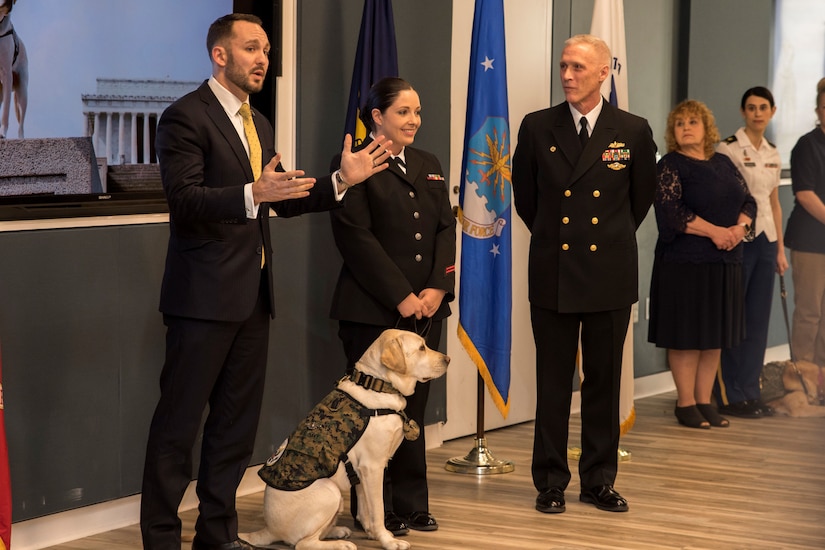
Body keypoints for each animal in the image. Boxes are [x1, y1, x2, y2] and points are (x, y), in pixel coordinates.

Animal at [241, 330, 448, 548]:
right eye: (421, 348)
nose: (448, 359)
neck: (377, 384)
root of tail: (268, 529)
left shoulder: (362, 472)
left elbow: (365, 510)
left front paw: (372, 533)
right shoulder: (372, 467)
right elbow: (378, 510)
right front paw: (388, 540)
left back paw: (337, 531)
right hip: (330, 491)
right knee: (303, 543)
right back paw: (340, 544)